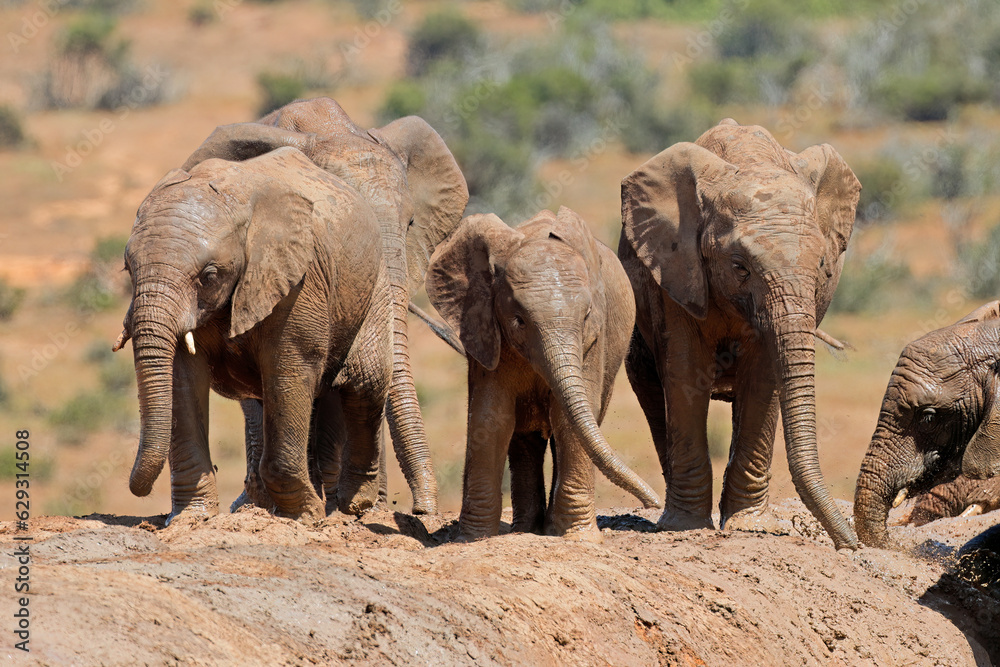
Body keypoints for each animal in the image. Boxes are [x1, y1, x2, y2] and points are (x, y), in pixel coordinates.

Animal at [120, 146, 392, 522]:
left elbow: (289, 366)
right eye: (128, 269)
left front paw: (306, 514)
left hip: (374, 283)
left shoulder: (299, 277)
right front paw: (192, 517)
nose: (137, 489)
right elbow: (181, 377)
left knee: (364, 383)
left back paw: (356, 505)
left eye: (209, 275)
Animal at [425, 207, 661, 542]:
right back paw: (528, 529)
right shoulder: (483, 327)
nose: (654, 502)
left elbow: (568, 417)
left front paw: (578, 537)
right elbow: (491, 416)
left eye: (587, 316)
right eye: (519, 320)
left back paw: (545, 529)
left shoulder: (594, 341)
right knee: (525, 436)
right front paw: (472, 539)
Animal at [619, 118, 862, 550]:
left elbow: (763, 379)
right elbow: (685, 374)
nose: (852, 545)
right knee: (651, 393)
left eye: (822, 265)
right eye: (739, 266)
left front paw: (750, 526)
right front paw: (686, 527)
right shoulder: (677, 270)